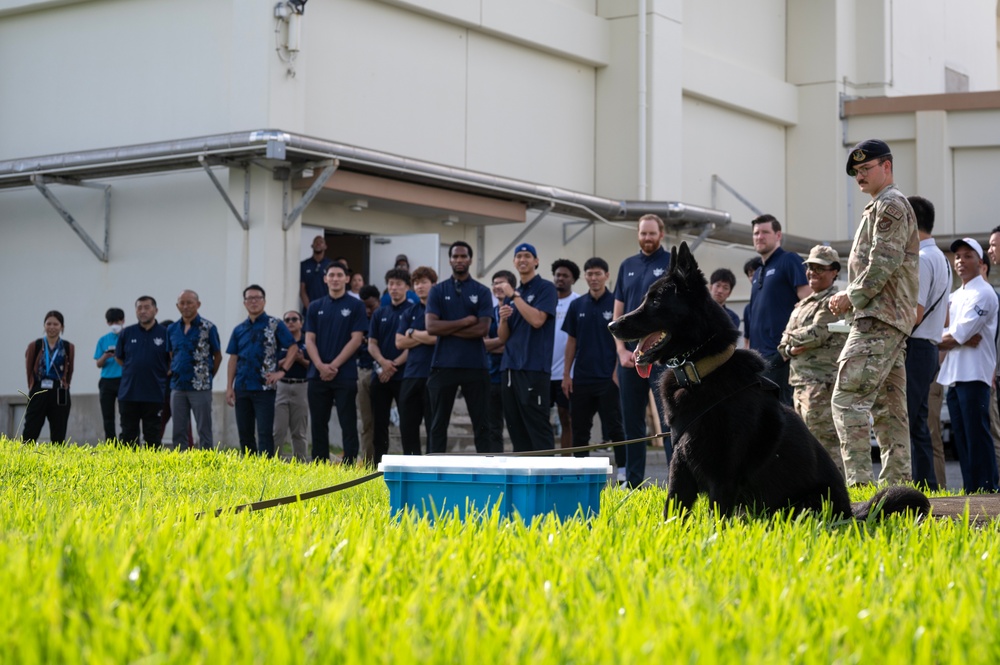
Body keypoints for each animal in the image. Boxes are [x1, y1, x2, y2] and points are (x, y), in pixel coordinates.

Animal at [608, 241, 928, 520]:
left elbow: (715, 520)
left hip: (801, 505)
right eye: (645, 298)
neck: (702, 370)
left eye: (656, 301)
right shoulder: (680, 469)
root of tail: (849, 514)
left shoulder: (722, 476)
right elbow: (672, 515)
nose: (612, 325)